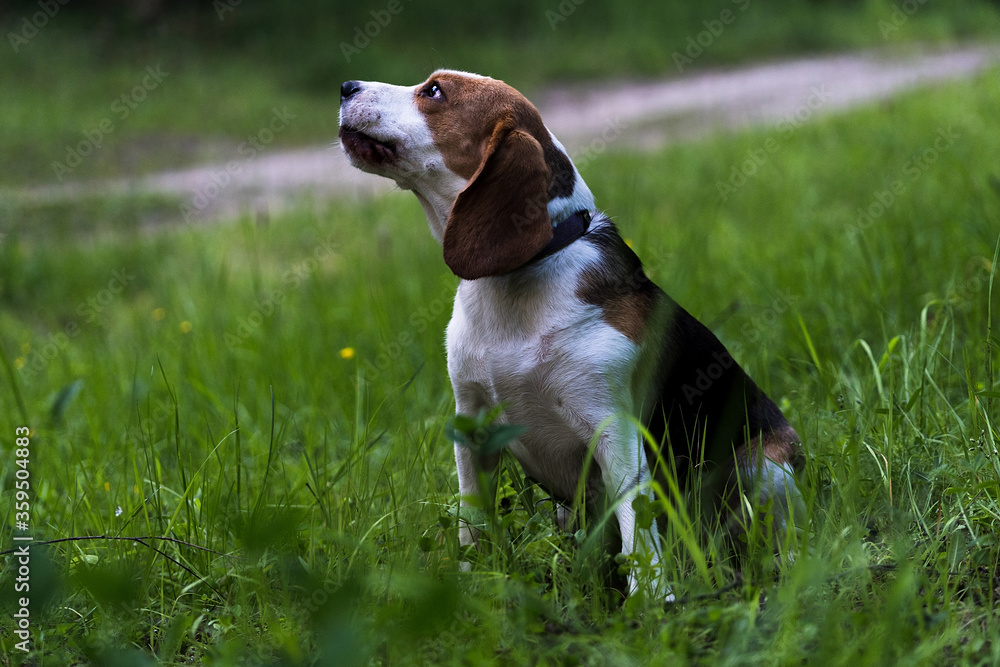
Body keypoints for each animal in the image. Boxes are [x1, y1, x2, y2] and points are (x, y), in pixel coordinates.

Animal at [340, 70, 800, 596]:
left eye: (434, 91)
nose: (346, 86)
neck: (520, 274)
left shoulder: (615, 435)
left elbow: (638, 536)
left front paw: (653, 603)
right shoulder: (472, 423)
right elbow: (471, 523)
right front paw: (472, 586)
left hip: (765, 466)